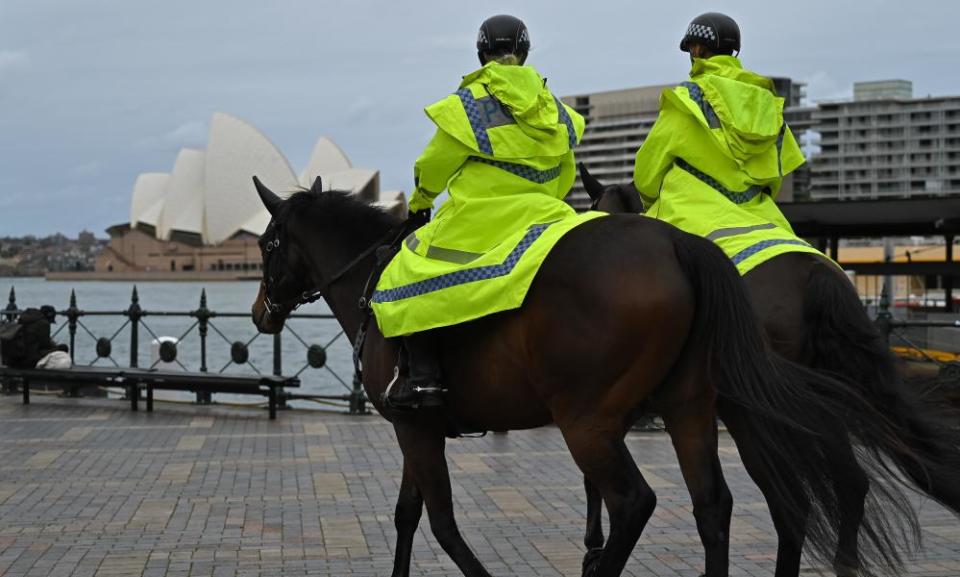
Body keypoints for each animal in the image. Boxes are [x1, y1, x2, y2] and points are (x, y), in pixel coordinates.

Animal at [249, 177, 916, 576]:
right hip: (690, 409)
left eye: (266, 244)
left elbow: (440, 522)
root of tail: (680, 246)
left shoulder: (414, 428)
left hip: (596, 421)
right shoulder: (418, 427)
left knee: (642, 501)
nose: (259, 312)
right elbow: (409, 514)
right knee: (718, 504)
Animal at [576, 165, 960, 576]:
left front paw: (594, 548)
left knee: (790, 501)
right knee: (850, 482)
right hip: (825, 398)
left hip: (756, 415)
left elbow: (594, 472)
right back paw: (846, 561)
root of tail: (815, 277)